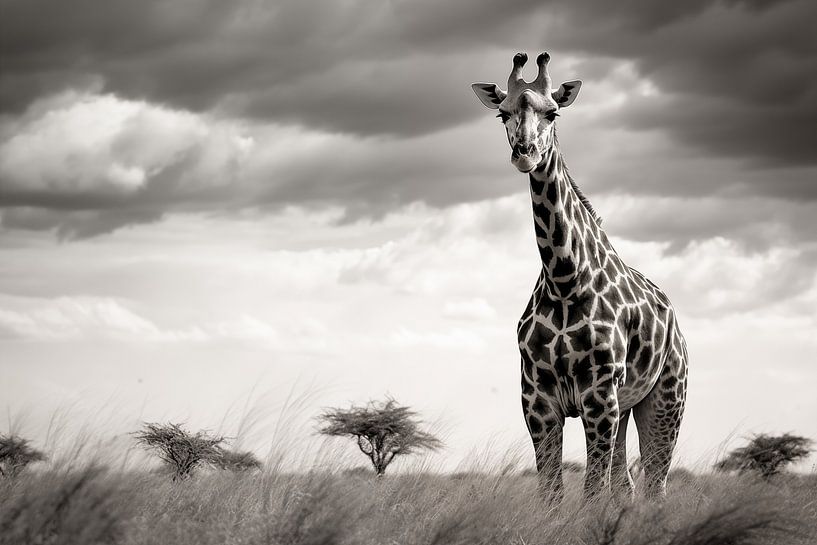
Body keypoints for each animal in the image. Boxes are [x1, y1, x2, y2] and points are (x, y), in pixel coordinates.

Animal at [472, 53, 688, 502]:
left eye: (553, 112)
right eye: (503, 113)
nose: (525, 152)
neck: (565, 278)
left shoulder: (598, 394)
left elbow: (591, 491)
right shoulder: (537, 398)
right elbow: (552, 493)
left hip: (665, 397)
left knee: (656, 483)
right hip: (626, 405)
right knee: (626, 483)